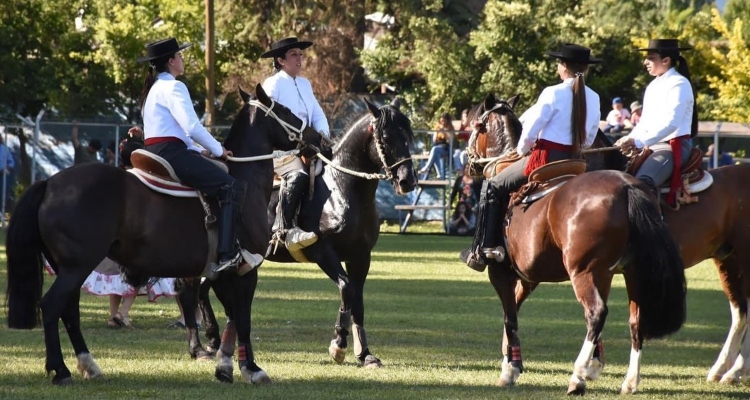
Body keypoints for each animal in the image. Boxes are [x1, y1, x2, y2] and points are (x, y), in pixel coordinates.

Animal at [5, 83, 322, 384]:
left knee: (69, 310)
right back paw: (61, 370)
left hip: (69, 268)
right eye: (285, 110)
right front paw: (251, 369)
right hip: (77, 266)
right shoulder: (246, 270)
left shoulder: (225, 274)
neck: (245, 181)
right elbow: (243, 318)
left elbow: (231, 316)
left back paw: (88, 365)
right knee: (52, 306)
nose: (318, 138)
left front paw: (225, 365)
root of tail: (49, 183)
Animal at [472, 94, 750, 394]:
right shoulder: (566, 274)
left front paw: (511, 368)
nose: (470, 161)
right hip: (724, 261)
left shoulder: (505, 272)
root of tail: (628, 189)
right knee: (735, 313)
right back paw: (718, 370)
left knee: (597, 312)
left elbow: (510, 314)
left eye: (475, 123)